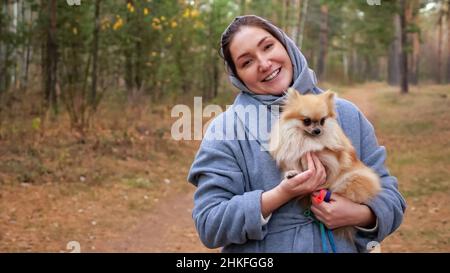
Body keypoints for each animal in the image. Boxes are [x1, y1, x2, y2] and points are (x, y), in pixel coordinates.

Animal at [270, 88, 380, 239]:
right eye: (306, 121)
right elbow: (296, 163)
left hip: (353, 178)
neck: (307, 138)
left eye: (322, 121)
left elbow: (317, 154)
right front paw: (292, 173)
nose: (317, 131)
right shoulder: (293, 156)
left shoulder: (331, 159)